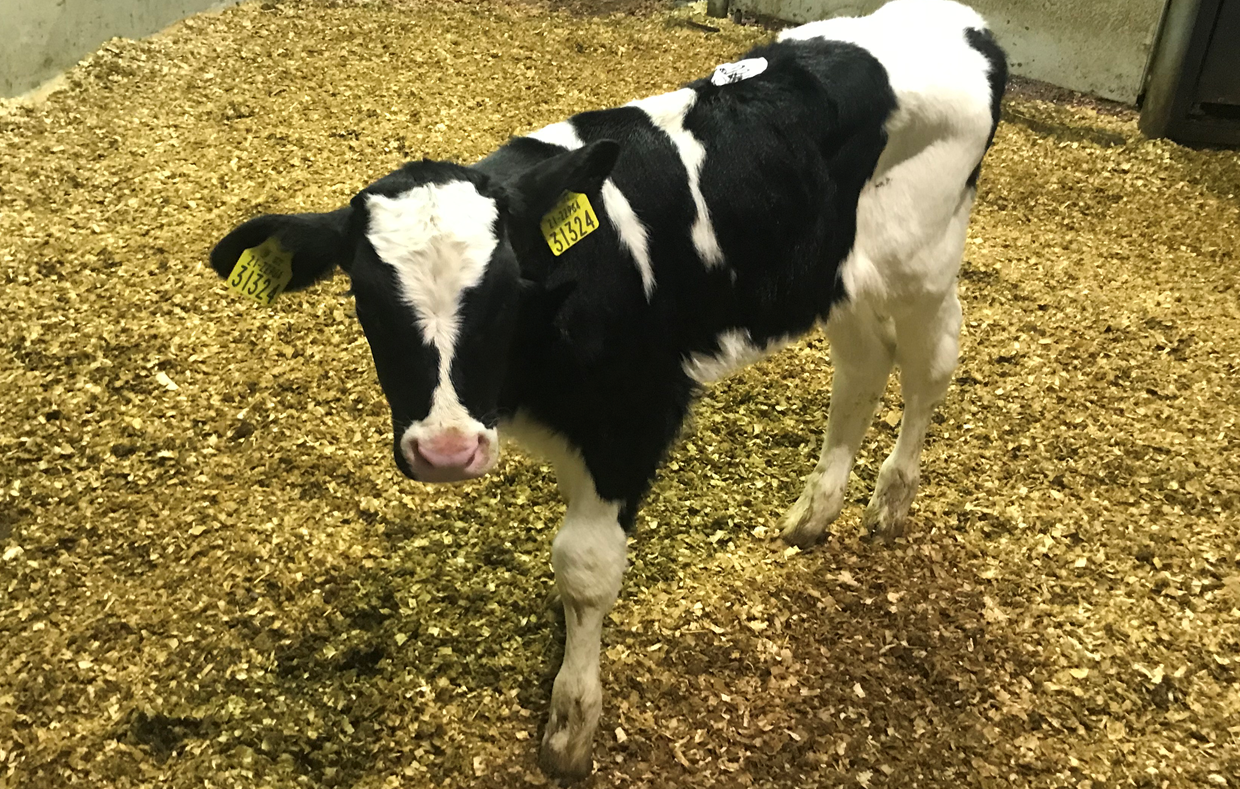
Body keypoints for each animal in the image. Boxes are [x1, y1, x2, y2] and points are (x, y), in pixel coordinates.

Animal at [208, 0, 1006, 779]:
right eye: (367, 300)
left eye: (503, 289)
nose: (446, 449)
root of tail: (964, 23)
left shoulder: (634, 415)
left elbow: (584, 569)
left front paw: (570, 723)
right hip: (835, 275)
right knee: (864, 366)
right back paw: (814, 513)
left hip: (927, 261)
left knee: (931, 363)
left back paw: (891, 502)